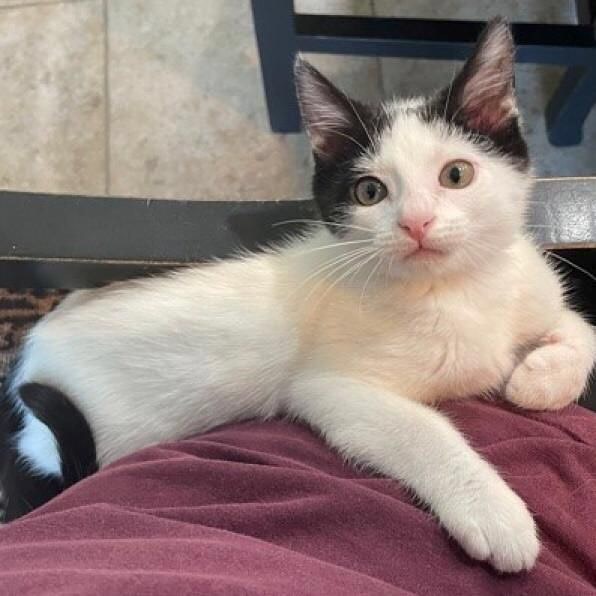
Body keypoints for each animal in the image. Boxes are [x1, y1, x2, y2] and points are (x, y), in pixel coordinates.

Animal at [1, 21, 596, 576]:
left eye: (456, 174)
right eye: (370, 192)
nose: (416, 223)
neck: (457, 290)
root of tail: (29, 350)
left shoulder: (533, 290)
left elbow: (582, 328)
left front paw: (539, 380)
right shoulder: (326, 389)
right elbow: (421, 428)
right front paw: (495, 513)